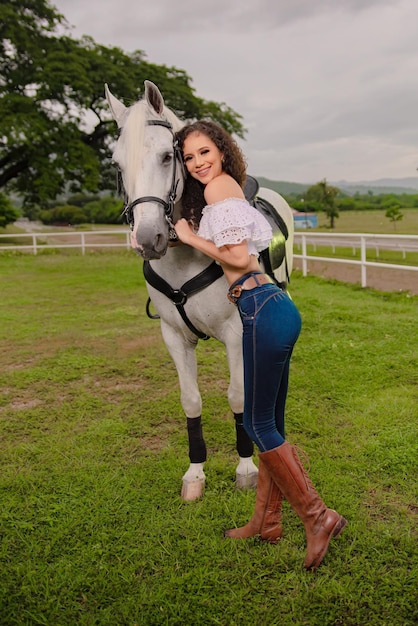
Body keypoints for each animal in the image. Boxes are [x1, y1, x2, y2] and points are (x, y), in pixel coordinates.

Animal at [104, 83, 294, 500]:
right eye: (117, 165)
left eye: (166, 156)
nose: (148, 238)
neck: (182, 259)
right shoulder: (174, 336)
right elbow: (190, 400)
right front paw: (195, 473)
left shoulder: (236, 332)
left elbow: (238, 396)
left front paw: (246, 468)